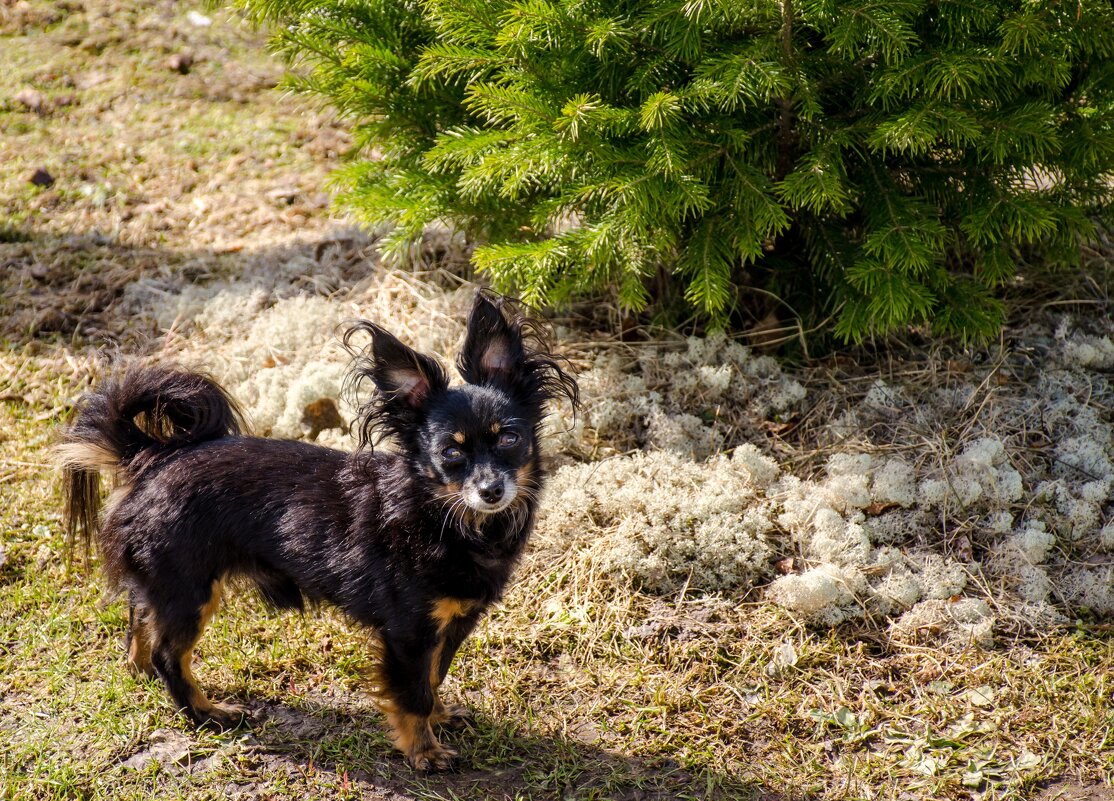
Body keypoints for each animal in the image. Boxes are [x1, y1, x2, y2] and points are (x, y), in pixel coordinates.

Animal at [60, 294, 579, 770]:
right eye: (451, 454)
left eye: (510, 438)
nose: (491, 490)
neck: (444, 517)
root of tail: (151, 457)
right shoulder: (409, 632)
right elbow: (413, 692)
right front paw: (424, 752)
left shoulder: (452, 623)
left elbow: (434, 677)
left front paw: (440, 716)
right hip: (191, 590)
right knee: (171, 654)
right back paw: (207, 713)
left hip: (169, 583)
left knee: (141, 620)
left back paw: (141, 668)